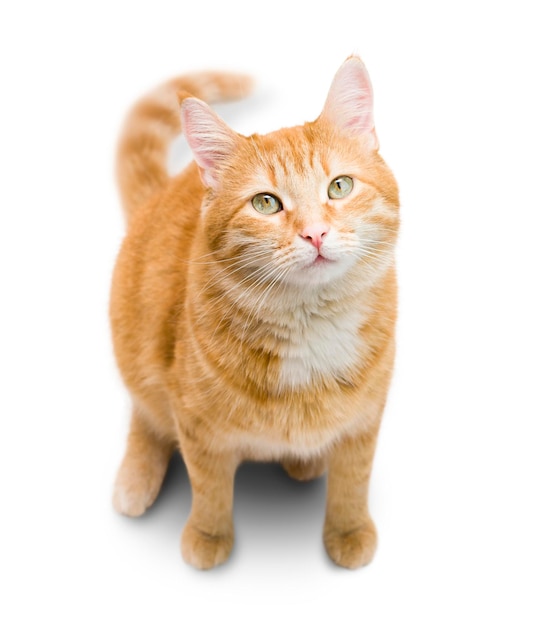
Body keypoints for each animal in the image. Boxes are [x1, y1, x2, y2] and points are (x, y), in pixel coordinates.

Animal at [110, 56, 400, 568]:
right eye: (266, 203)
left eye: (340, 186)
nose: (315, 233)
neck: (310, 329)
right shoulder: (196, 426)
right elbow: (208, 487)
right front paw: (207, 535)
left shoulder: (365, 419)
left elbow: (353, 479)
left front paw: (348, 530)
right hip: (138, 346)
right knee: (146, 415)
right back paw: (136, 476)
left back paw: (306, 461)